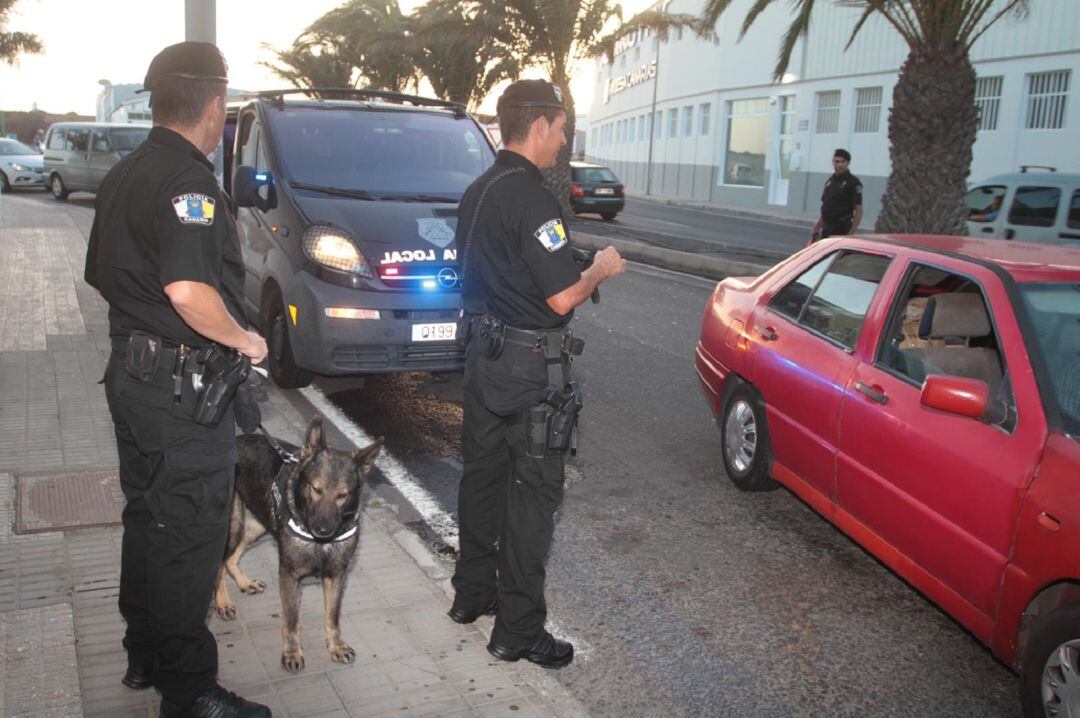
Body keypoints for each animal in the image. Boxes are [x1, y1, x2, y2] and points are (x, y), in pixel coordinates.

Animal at [212, 414, 382, 673]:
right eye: (315, 488)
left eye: (343, 495)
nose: (323, 530)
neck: (320, 543)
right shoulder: (289, 575)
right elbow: (292, 621)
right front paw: (292, 653)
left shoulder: (336, 575)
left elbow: (333, 617)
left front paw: (336, 646)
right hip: (233, 528)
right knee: (219, 565)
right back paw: (222, 602)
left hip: (257, 525)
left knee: (231, 559)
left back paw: (245, 583)